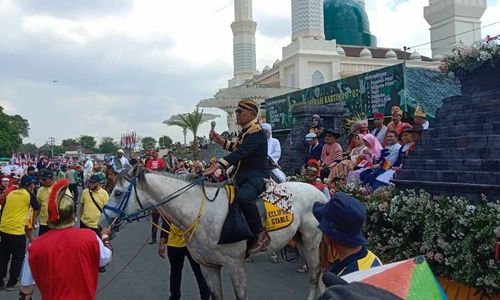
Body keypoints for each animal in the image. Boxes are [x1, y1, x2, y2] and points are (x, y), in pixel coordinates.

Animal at [99, 166, 326, 300]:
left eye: (118, 193)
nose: (102, 223)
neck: (203, 214)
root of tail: (319, 192)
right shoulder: (208, 266)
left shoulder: (235, 265)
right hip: (299, 239)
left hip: (311, 240)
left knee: (314, 274)